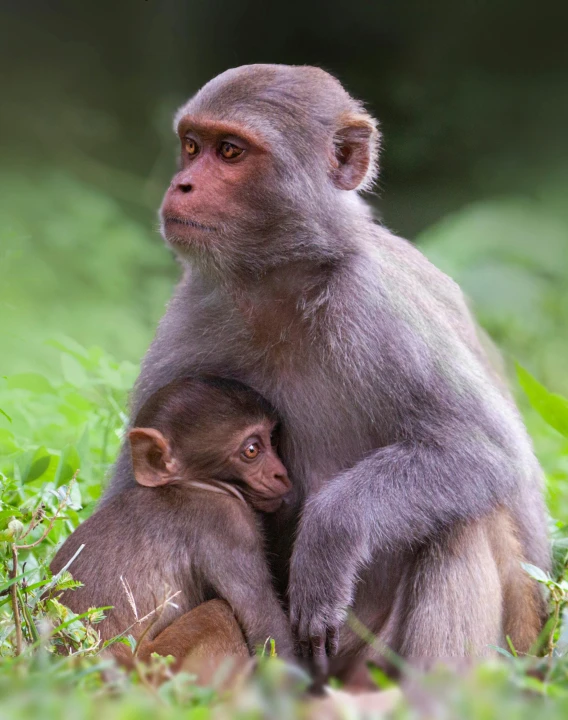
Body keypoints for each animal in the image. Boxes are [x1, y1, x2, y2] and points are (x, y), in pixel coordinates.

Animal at [50, 376, 292, 680]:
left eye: (272, 440)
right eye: (252, 450)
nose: (281, 474)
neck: (193, 485)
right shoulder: (229, 525)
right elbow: (262, 623)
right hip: (153, 664)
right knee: (219, 613)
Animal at [104, 64, 548, 676]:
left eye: (230, 151)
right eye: (191, 147)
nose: (182, 185)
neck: (284, 282)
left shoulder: (374, 304)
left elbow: (485, 450)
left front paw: (326, 543)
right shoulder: (199, 306)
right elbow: (144, 489)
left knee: (466, 514)